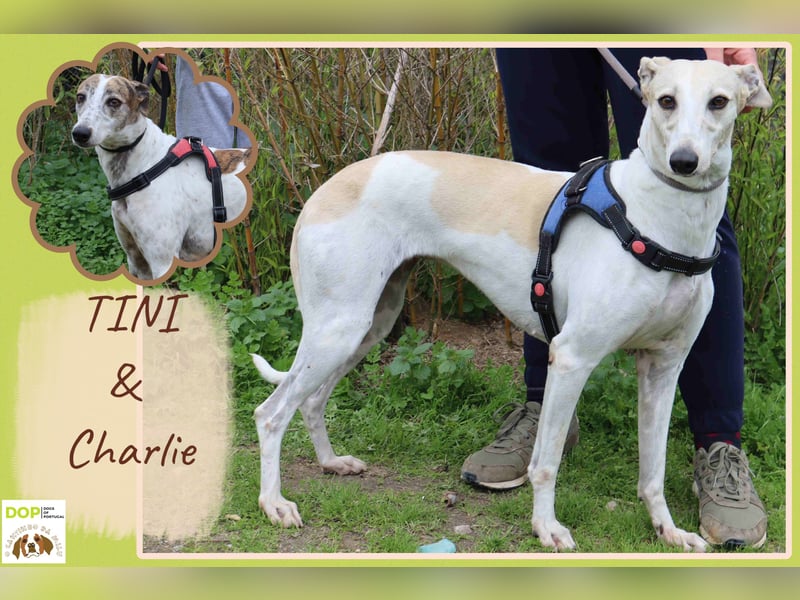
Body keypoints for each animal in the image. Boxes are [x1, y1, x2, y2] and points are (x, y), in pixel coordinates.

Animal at [71, 74, 250, 281]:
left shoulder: (163, 263)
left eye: (114, 101)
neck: (145, 166)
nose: (80, 133)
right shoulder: (136, 261)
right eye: (80, 97)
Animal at [249, 57, 772, 552]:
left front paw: (668, 531)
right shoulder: (572, 359)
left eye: (719, 101)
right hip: (338, 328)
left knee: (311, 399)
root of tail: (323, 189)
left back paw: (330, 462)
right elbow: (546, 462)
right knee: (271, 413)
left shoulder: (663, 367)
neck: (655, 220)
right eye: (666, 100)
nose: (684, 161)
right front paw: (547, 528)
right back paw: (274, 503)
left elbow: (653, 470)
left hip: (368, 324)